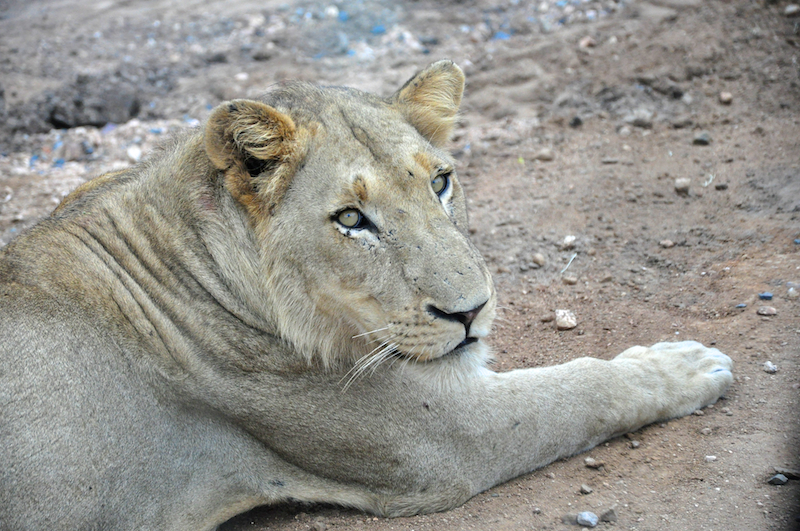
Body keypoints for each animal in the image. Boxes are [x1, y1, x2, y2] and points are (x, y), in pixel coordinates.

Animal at [0, 60, 732, 530]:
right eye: (352, 219)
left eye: (441, 182)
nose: (471, 312)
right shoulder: (445, 439)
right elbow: (582, 390)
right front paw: (687, 363)